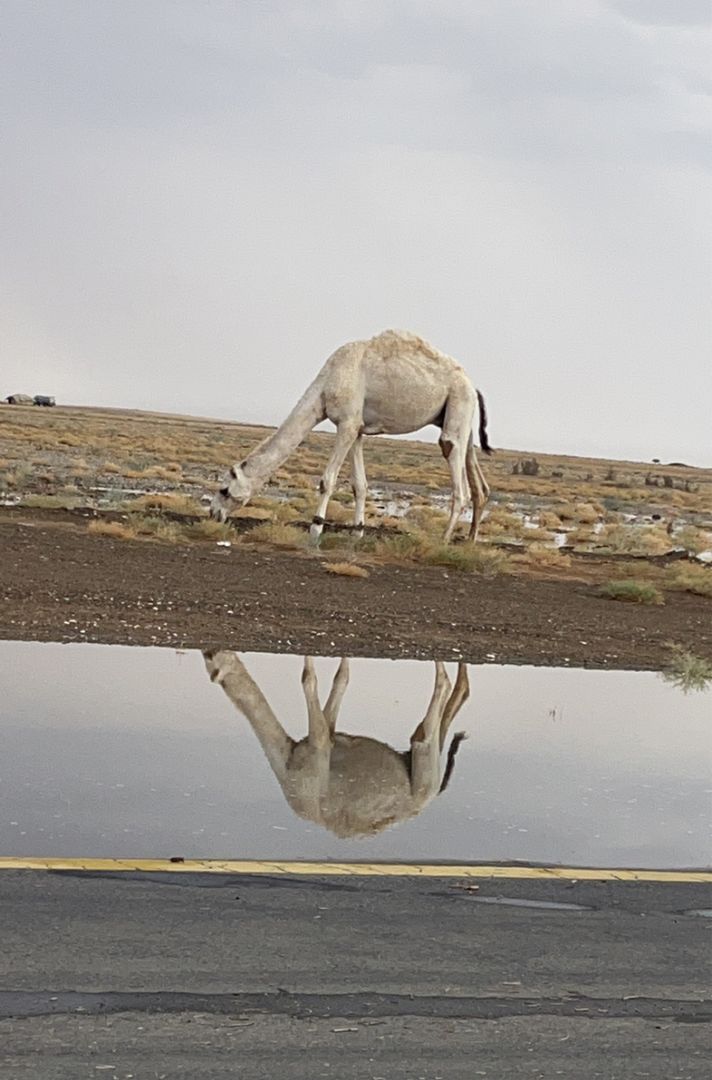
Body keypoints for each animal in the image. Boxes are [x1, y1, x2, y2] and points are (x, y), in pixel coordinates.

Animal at [203, 648, 471, 833]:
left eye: (209, 660)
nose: (210, 649)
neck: (287, 762)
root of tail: (430, 797)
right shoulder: (328, 738)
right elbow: (341, 677)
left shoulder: (318, 746)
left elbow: (308, 678)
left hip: (424, 772)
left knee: (434, 709)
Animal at [208, 326, 492, 540]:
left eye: (224, 489)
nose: (212, 513)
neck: (325, 388)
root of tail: (473, 386)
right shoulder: (358, 429)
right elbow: (359, 485)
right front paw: (358, 530)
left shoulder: (346, 424)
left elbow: (328, 480)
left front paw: (316, 528)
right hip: (460, 416)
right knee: (476, 478)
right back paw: (470, 540)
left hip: (458, 403)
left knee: (455, 468)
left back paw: (443, 539)